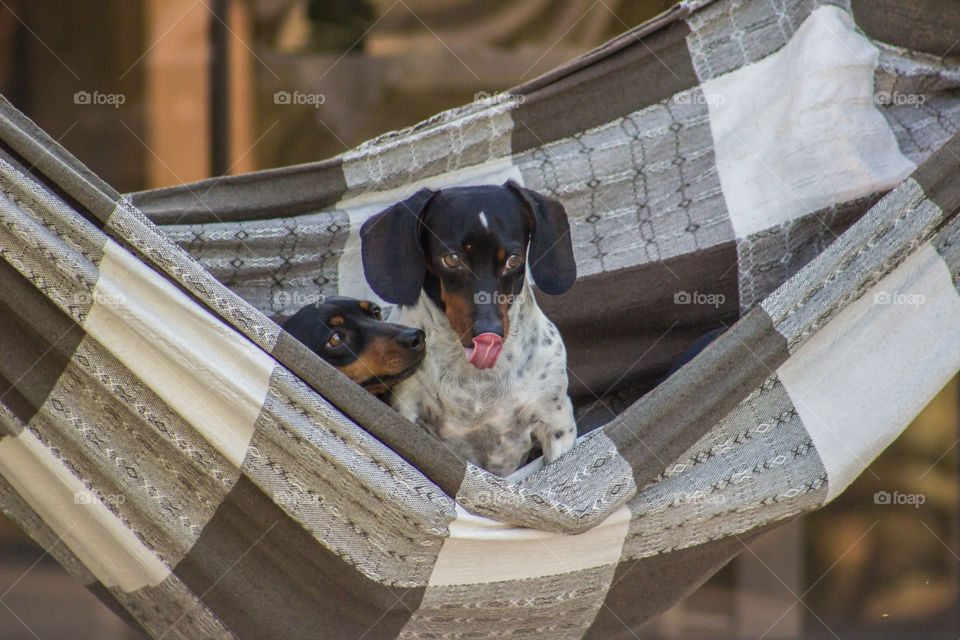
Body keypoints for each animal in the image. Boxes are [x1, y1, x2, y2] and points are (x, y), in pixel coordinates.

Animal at [360, 180, 576, 476]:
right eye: (452, 259)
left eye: (513, 259)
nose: (489, 333)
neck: (477, 379)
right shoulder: (408, 410)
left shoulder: (556, 424)